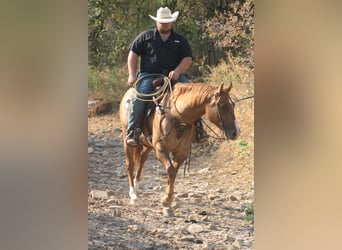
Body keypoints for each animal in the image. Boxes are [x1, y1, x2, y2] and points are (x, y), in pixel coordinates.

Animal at [119, 82, 239, 211]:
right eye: (222, 106)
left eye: (233, 105)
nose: (236, 132)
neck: (176, 117)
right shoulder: (160, 148)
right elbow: (171, 170)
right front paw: (167, 199)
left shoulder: (182, 151)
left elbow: (174, 171)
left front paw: (167, 198)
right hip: (127, 138)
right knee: (129, 165)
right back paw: (133, 195)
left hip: (147, 144)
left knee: (141, 160)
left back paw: (137, 188)